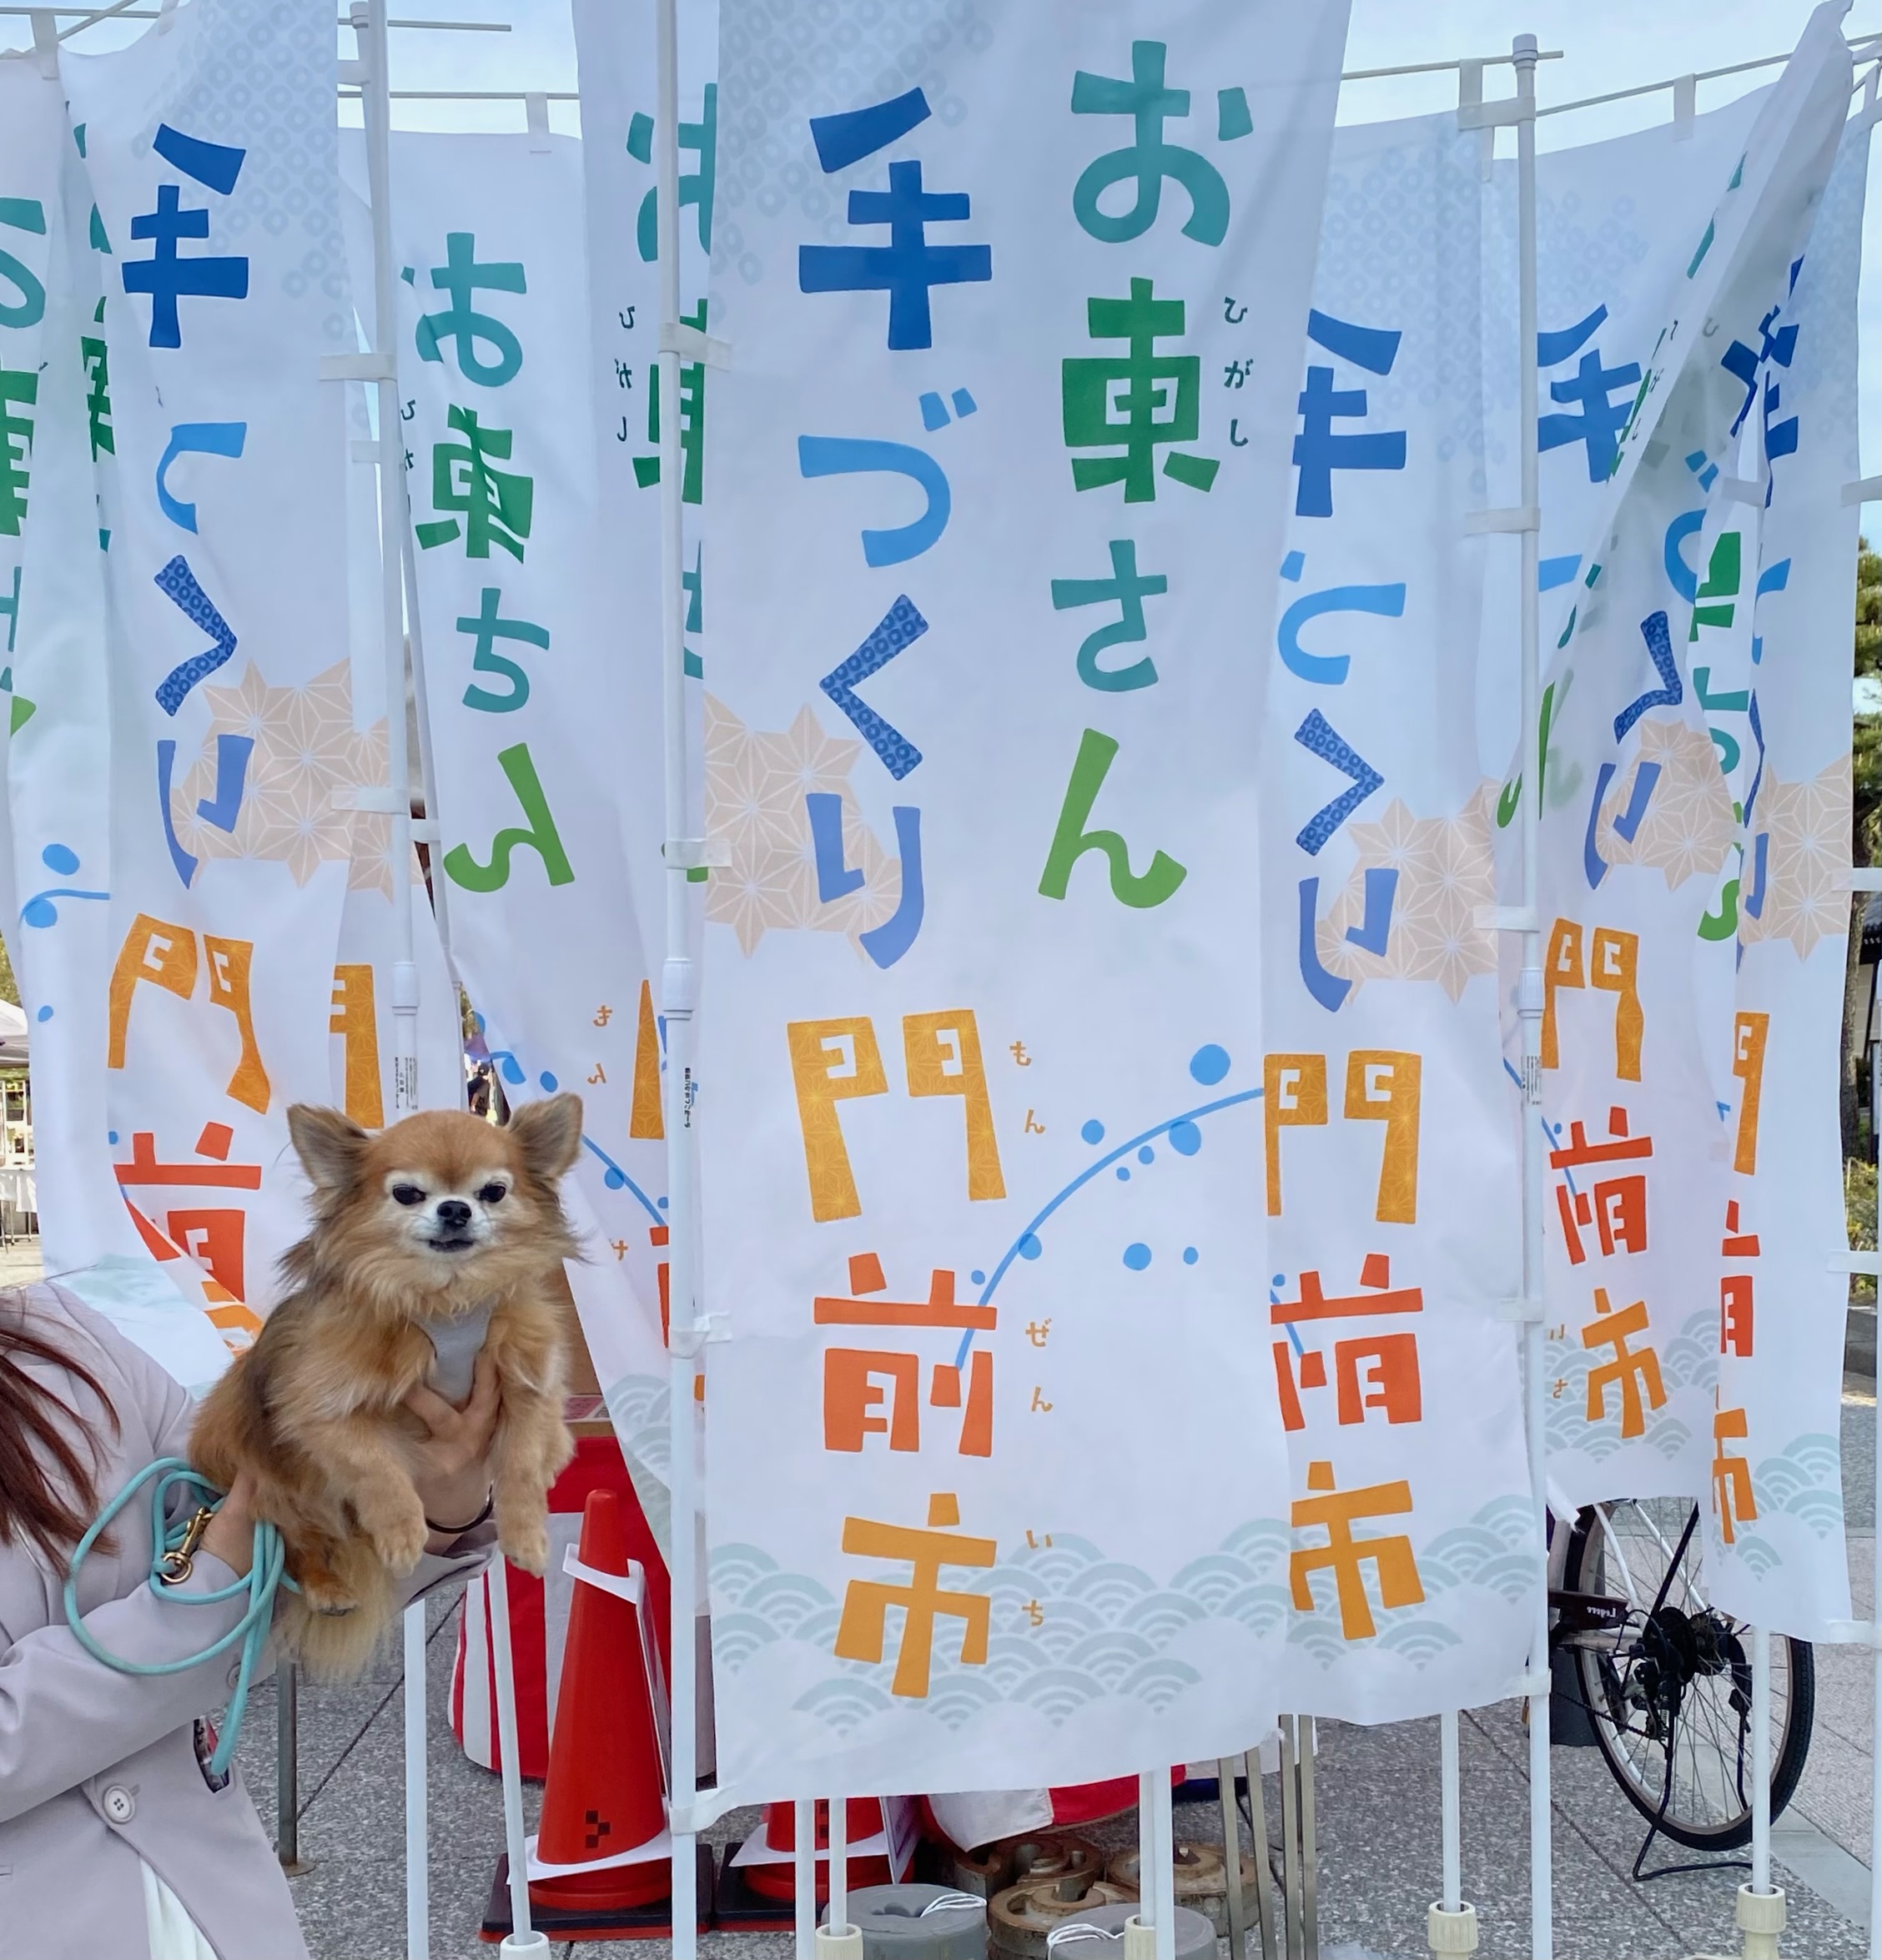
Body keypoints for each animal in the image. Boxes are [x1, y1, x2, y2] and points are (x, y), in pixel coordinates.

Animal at [191, 1095, 584, 1678]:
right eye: (407, 1193)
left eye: (493, 1191)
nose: (455, 1209)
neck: (446, 1301)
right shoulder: (318, 1409)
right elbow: (376, 1468)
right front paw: (401, 1532)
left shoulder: (528, 1383)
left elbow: (520, 1463)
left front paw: (527, 1534)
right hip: (271, 1478)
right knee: (300, 1539)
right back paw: (328, 1586)